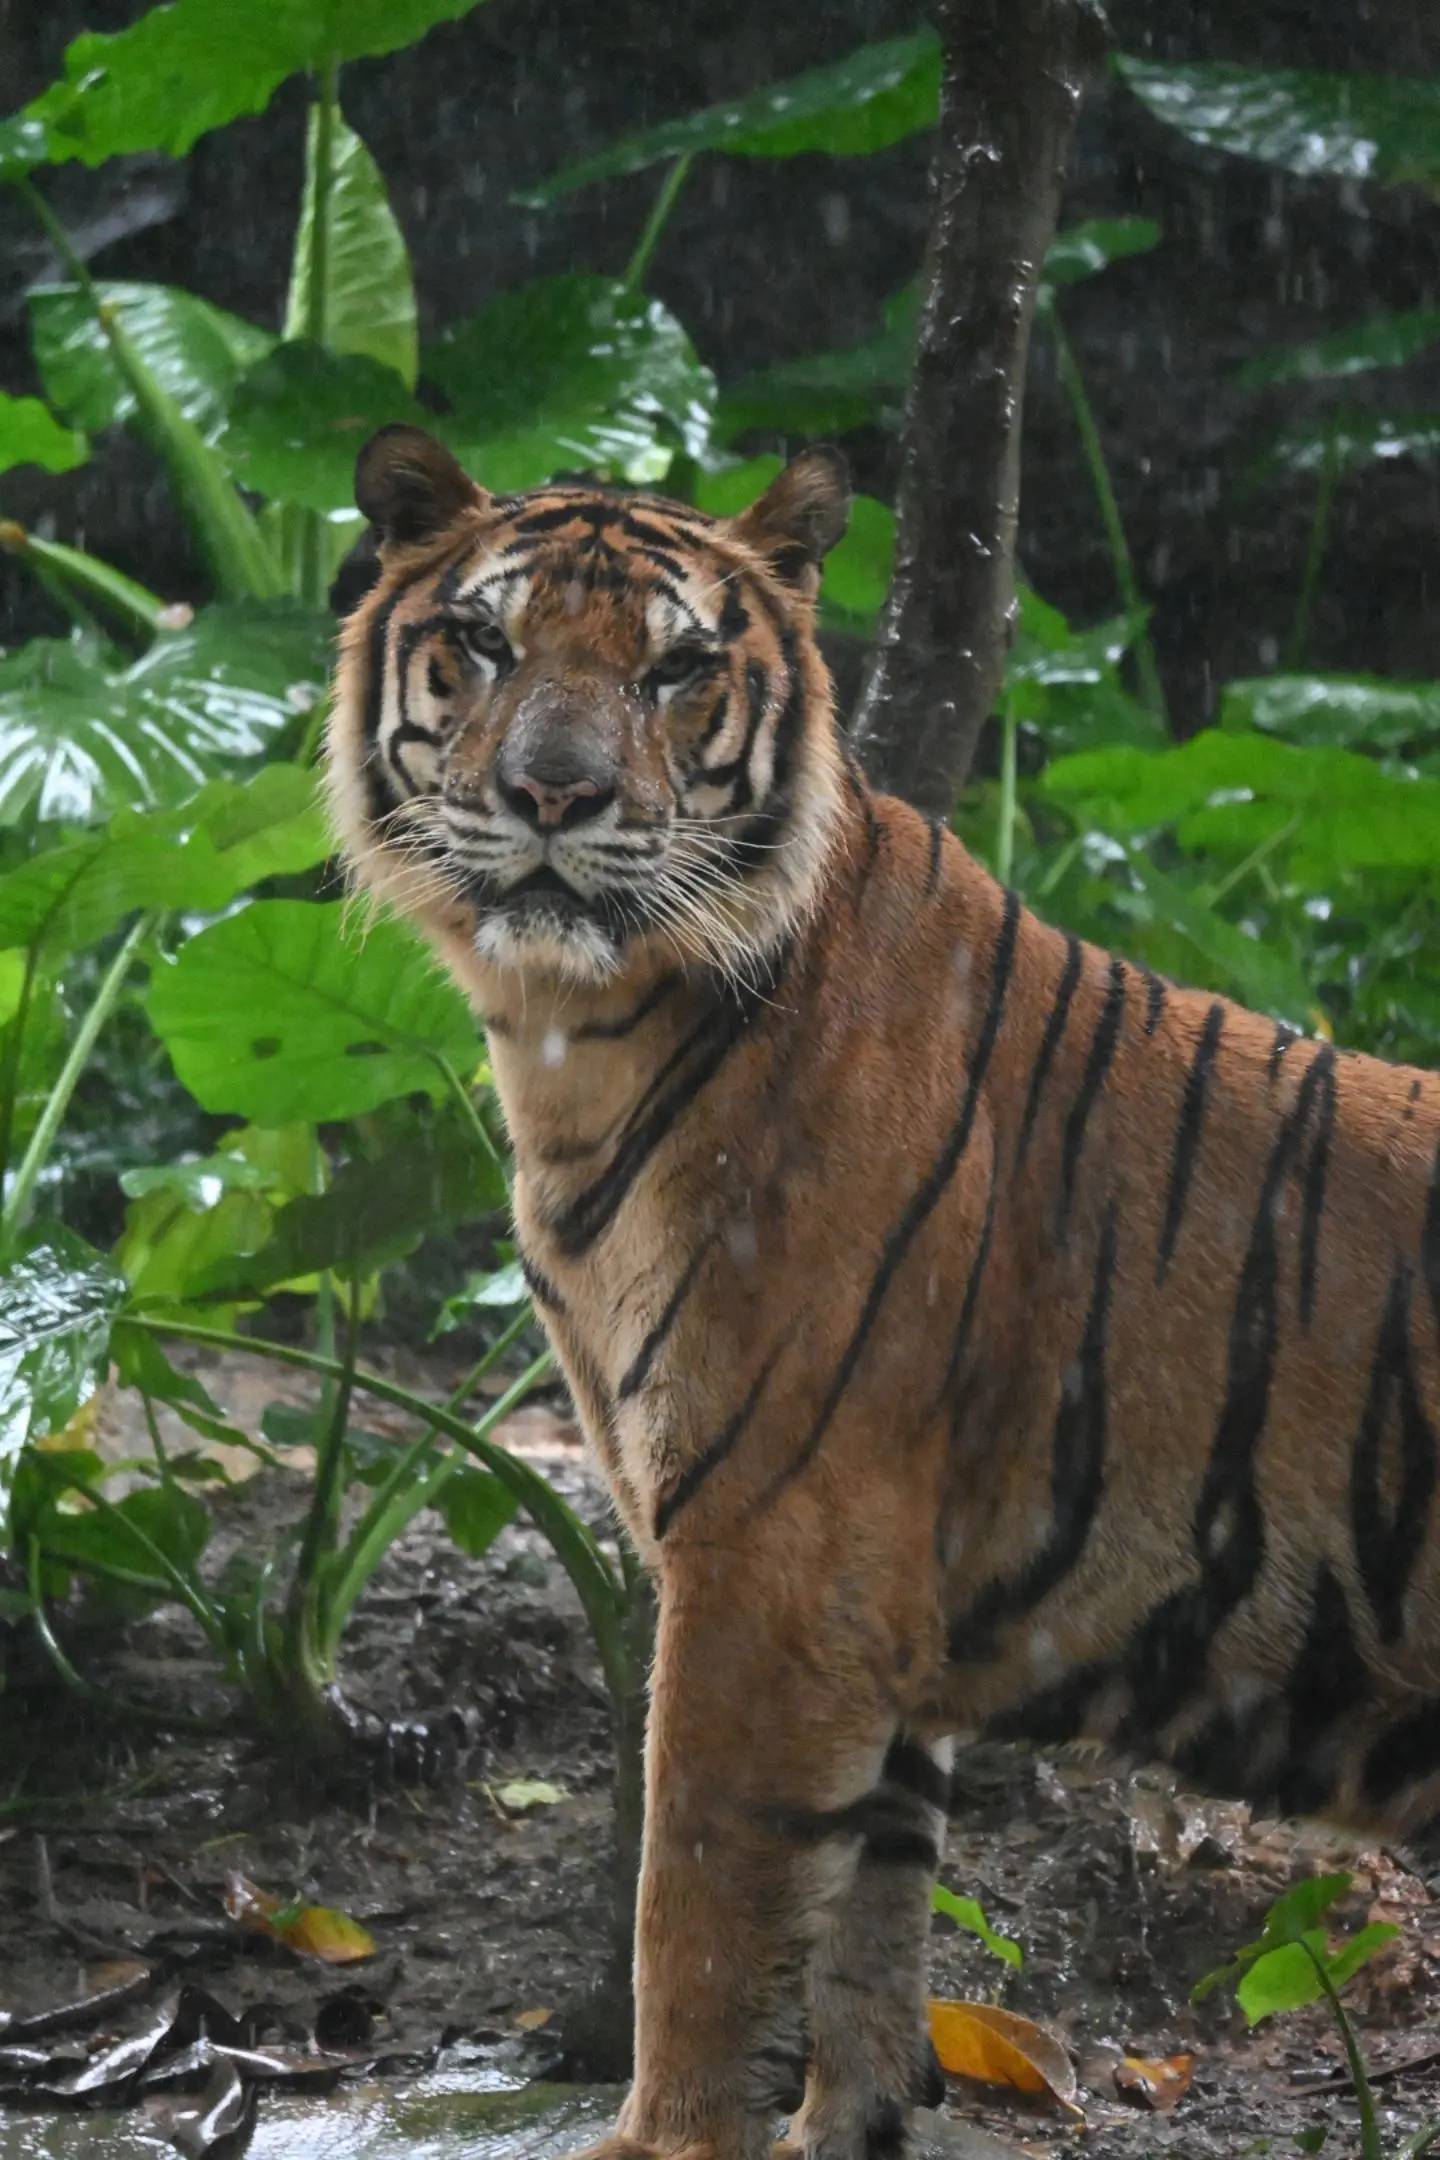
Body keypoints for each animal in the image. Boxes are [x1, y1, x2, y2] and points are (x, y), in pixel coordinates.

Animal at [328, 423, 1440, 2160]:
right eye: (487, 643)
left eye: (676, 669)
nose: (553, 796)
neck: (572, 1039)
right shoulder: (879, 1608)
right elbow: (866, 1933)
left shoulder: (771, 1562)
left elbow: (698, 1912)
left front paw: (658, 2139)